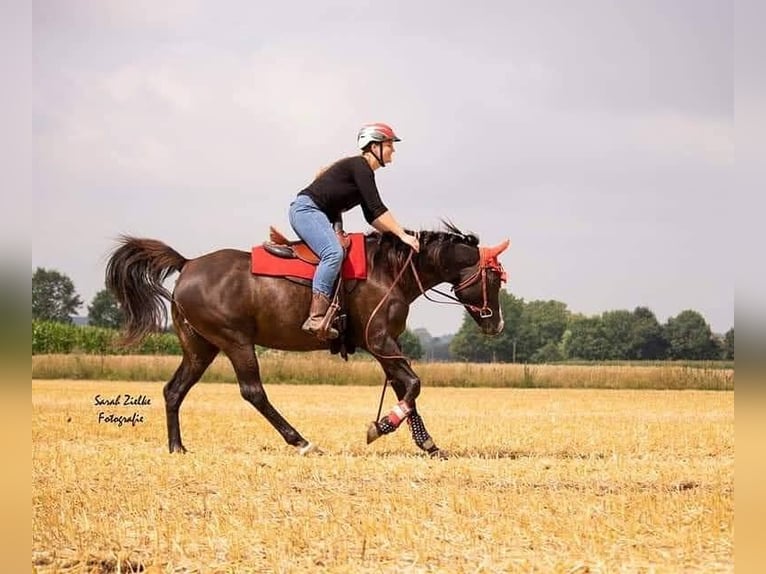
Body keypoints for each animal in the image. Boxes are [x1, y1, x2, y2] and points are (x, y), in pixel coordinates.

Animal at [105, 223, 510, 458]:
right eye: (493, 279)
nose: (498, 325)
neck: (391, 270)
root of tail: (187, 264)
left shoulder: (386, 347)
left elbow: (404, 388)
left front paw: (428, 444)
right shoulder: (379, 340)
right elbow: (412, 385)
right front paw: (380, 427)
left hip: (200, 347)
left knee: (174, 390)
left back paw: (177, 447)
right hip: (235, 341)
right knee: (253, 391)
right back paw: (300, 441)